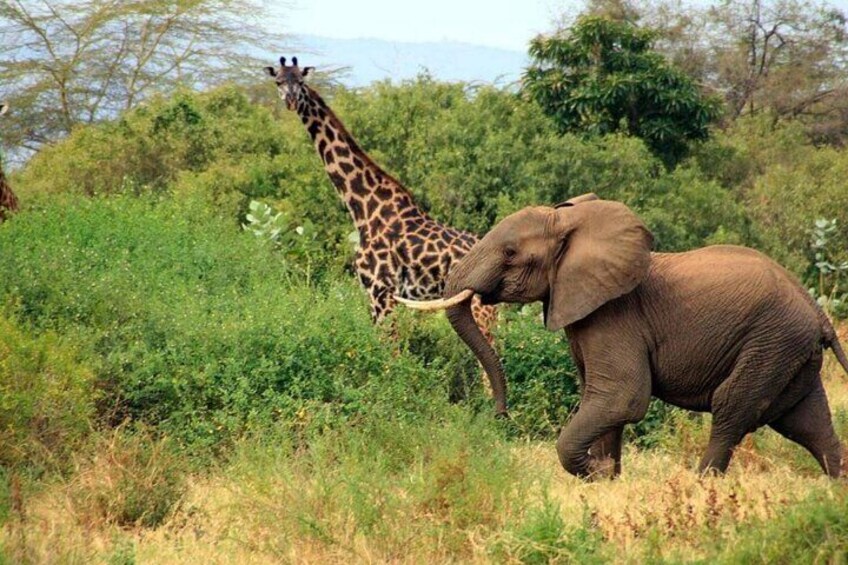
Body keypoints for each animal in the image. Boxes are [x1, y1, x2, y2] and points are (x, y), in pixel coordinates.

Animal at [265, 57, 505, 414]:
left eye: (301, 82)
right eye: (279, 81)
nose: (292, 102)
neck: (362, 208)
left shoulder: (381, 292)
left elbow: (387, 353)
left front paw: (390, 404)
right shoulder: (380, 296)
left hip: (481, 308)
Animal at [397, 197, 848, 479]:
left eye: (510, 253)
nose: (499, 415)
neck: (571, 224)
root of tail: (819, 313)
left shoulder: (615, 315)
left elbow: (620, 398)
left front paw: (596, 474)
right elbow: (599, 400)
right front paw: (606, 479)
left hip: (771, 341)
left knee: (733, 409)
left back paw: (701, 487)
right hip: (789, 351)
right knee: (808, 424)